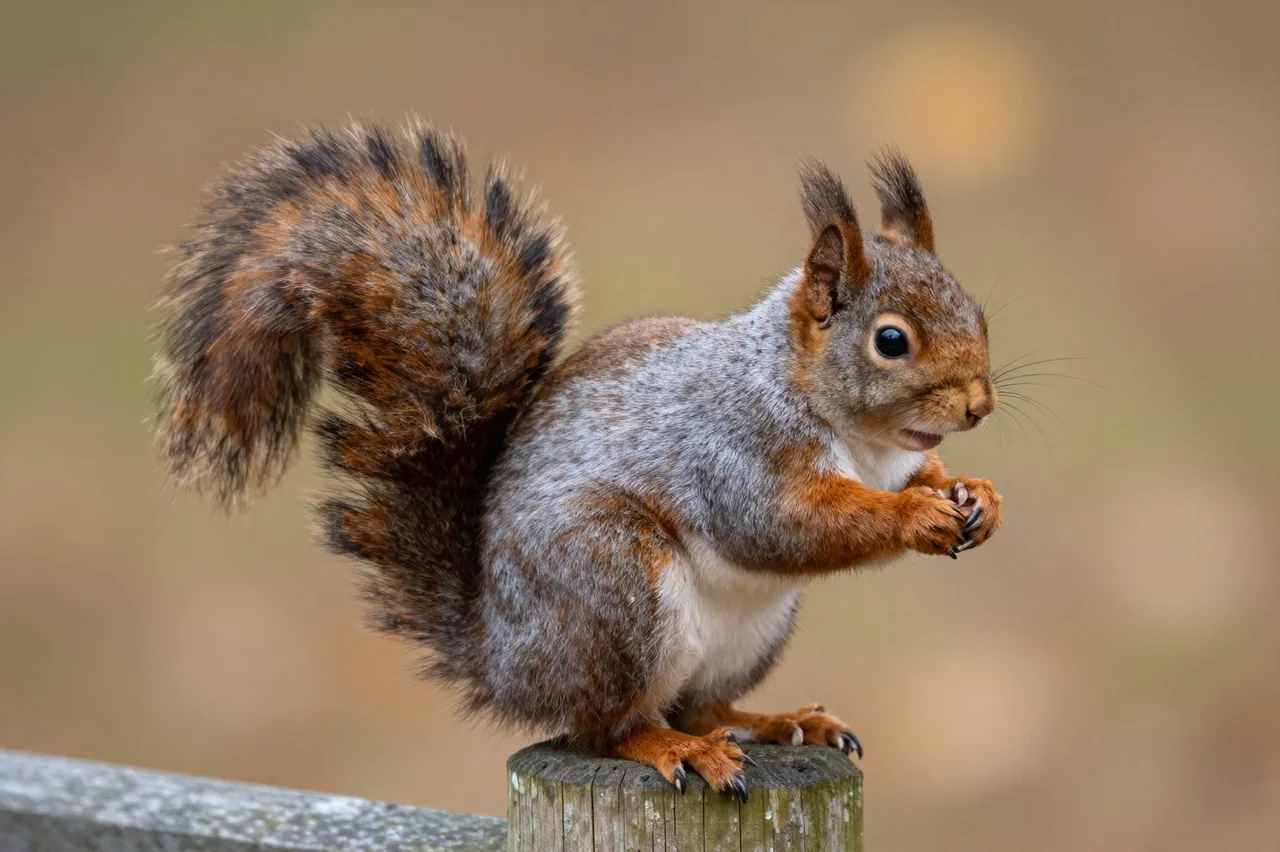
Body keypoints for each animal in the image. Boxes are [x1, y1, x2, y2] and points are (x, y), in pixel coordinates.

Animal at [152, 119, 1002, 800]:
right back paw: (678, 749)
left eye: (977, 310)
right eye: (890, 340)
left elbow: (924, 477)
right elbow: (781, 524)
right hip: (613, 586)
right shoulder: (734, 451)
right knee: (607, 728)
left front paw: (976, 495)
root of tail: (500, 658)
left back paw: (780, 721)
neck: (859, 437)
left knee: (703, 705)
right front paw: (914, 516)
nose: (979, 406)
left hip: (749, 634)